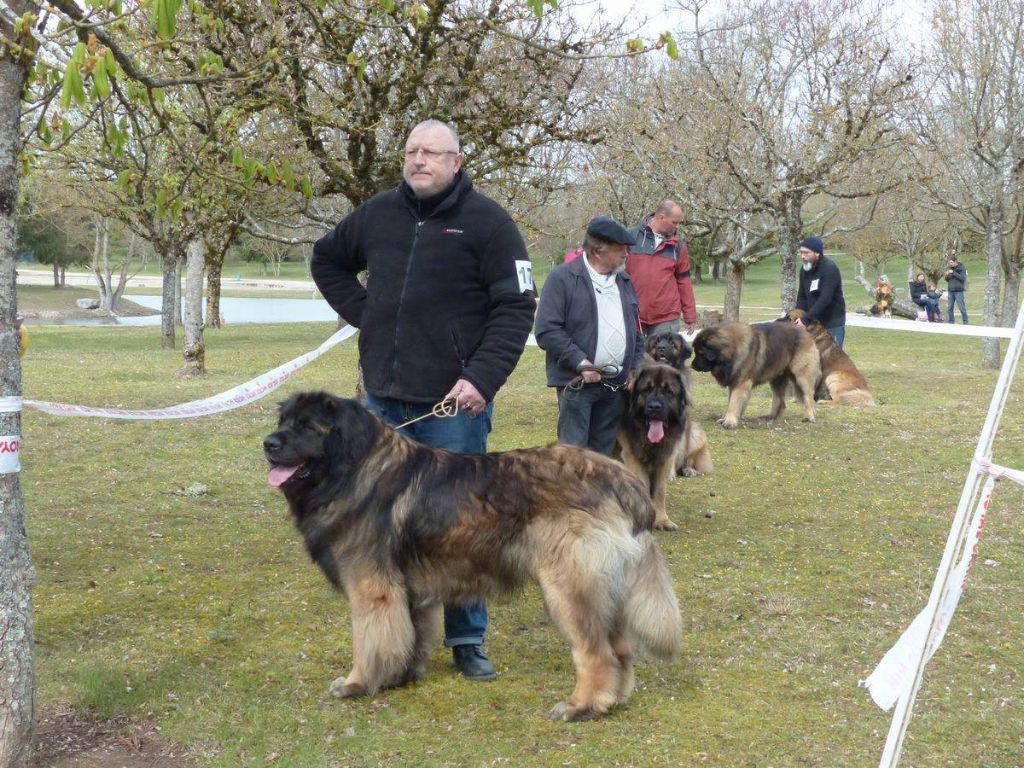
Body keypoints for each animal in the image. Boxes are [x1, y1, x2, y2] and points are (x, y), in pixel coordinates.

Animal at [264, 393, 679, 724]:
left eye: (308, 426)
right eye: (283, 421)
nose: (268, 443)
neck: (353, 468)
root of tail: (624, 481)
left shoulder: (372, 590)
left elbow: (369, 642)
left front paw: (357, 683)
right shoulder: (410, 592)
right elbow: (408, 636)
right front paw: (400, 677)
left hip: (570, 589)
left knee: (597, 652)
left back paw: (582, 706)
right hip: (603, 588)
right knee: (621, 650)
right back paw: (613, 699)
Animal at [638, 331, 712, 479]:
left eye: (672, 343)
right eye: (656, 342)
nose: (661, 347)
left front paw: (668, 474)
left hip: (696, 433)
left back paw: (689, 470)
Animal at [688, 321, 823, 430]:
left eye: (700, 352)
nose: (692, 366)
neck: (732, 350)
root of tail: (807, 334)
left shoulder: (741, 383)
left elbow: (733, 402)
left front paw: (730, 421)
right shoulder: (735, 382)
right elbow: (733, 401)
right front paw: (730, 418)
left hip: (802, 377)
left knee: (808, 397)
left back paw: (809, 417)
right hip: (777, 379)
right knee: (781, 401)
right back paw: (771, 417)